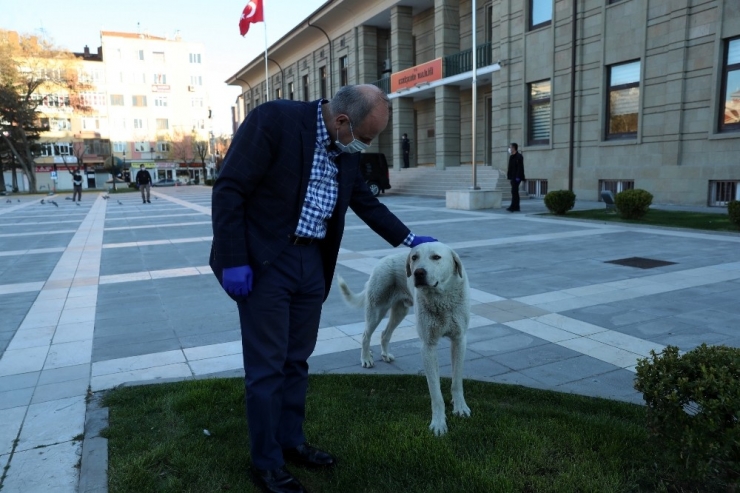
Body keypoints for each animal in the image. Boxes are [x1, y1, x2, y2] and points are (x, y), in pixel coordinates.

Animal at [338, 242, 472, 434]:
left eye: (436, 257)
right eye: (414, 257)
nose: (418, 273)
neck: (441, 298)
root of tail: (384, 259)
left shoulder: (459, 340)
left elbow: (457, 382)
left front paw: (460, 407)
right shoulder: (428, 346)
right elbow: (435, 393)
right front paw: (439, 423)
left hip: (400, 310)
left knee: (385, 333)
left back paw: (385, 355)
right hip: (377, 308)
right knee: (365, 335)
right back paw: (366, 359)